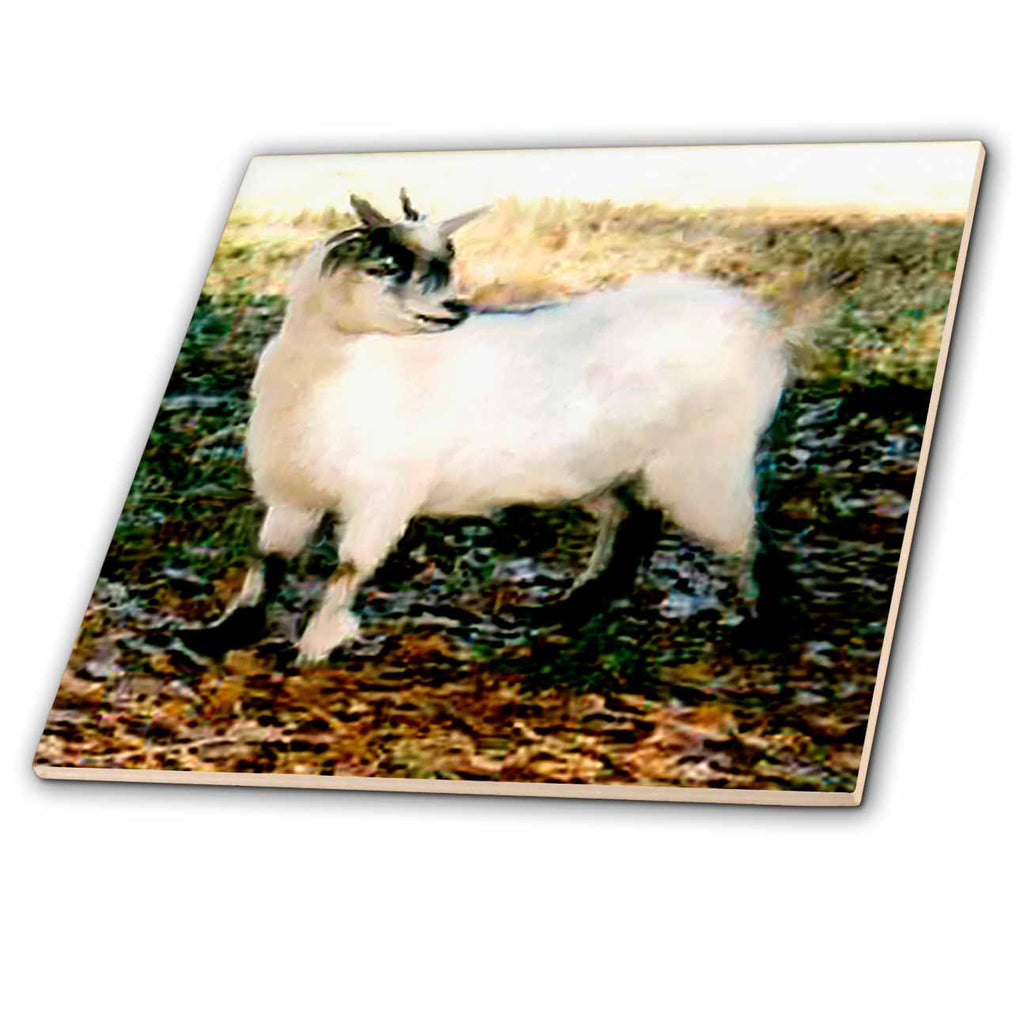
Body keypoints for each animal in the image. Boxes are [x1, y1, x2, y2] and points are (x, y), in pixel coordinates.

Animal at [183, 190, 790, 664]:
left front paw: (315, 646)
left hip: (705, 461)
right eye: (389, 265)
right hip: (607, 466)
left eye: (447, 263)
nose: (457, 309)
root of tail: (760, 324)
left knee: (748, 535)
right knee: (631, 521)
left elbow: (348, 569)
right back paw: (574, 607)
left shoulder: (382, 497)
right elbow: (266, 565)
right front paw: (220, 634)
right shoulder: (292, 495)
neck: (327, 374)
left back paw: (759, 625)